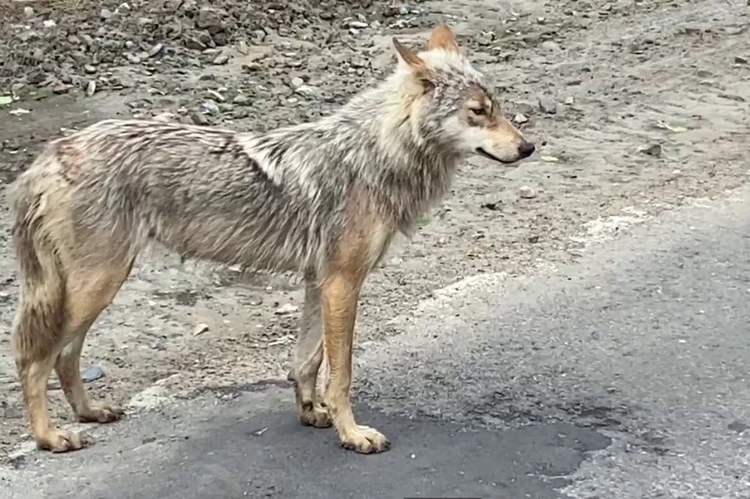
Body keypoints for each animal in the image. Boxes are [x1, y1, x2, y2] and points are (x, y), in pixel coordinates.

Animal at [5, 26, 536, 458]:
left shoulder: (319, 280)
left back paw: (90, 412)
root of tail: (48, 155)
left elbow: (307, 361)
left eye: (498, 109)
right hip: (95, 287)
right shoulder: (342, 282)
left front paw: (312, 412)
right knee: (34, 359)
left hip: (94, 290)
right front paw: (352, 434)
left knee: (65, 356)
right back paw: (50, 437)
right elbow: (342, 372)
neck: (376, 156)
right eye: (478, 113)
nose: (529, 147)